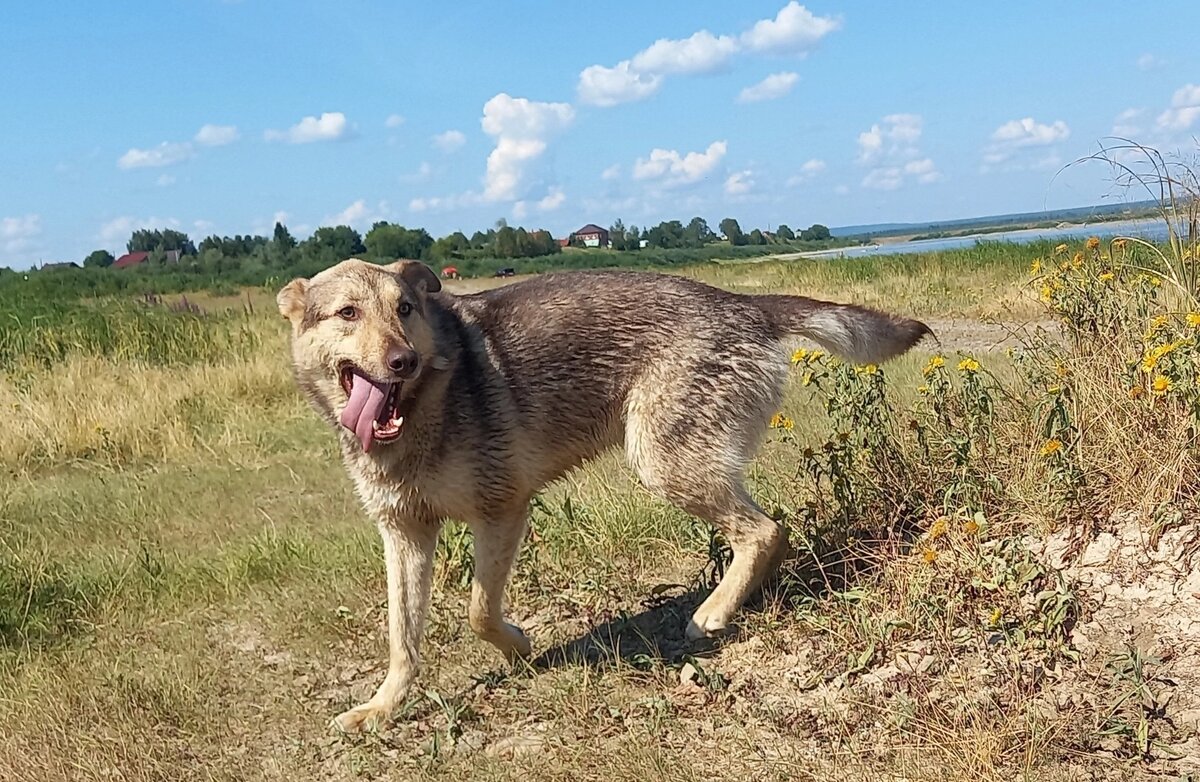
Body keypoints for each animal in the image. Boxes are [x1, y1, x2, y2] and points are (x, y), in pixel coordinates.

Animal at [276, 259, 931, 729]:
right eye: (347, 313)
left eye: (404, 308)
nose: (403, 361)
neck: (418, 414)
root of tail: (742, 302)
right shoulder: (405, 534)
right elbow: (403, 637)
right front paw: (384, 707)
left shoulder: (502, 510)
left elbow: (479, 611)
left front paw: (517, 647)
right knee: (769, 531)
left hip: (665, 465)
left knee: (767, 530)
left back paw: (715, 611)